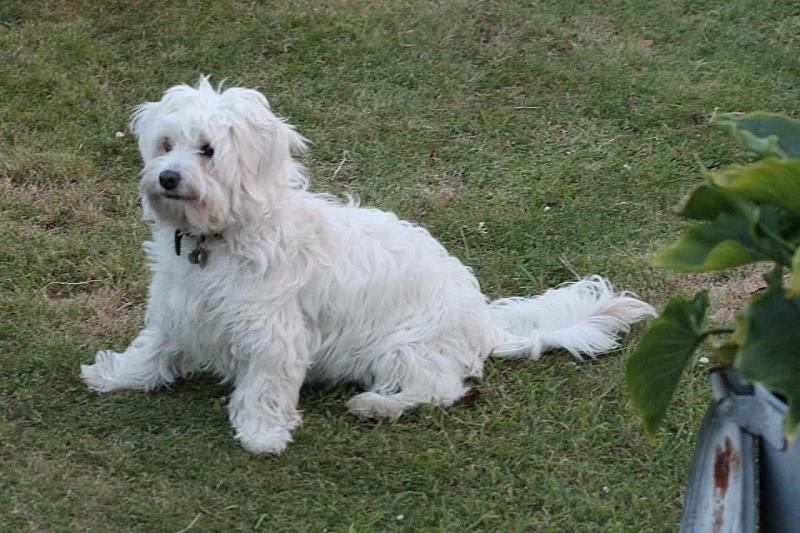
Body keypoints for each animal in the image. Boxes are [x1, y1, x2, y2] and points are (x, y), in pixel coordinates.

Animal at [81, 77, 655, 454]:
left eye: (207, 150)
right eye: (166, 144)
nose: (168, 178)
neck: (220, 238)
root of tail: (484, 323)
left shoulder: (274, 335)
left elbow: (265, 387)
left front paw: (262, 436)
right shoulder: (178, 307)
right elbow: (152, 347)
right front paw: (116, 375)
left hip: (404, 347)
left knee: (438, 390)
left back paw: (378, 406)